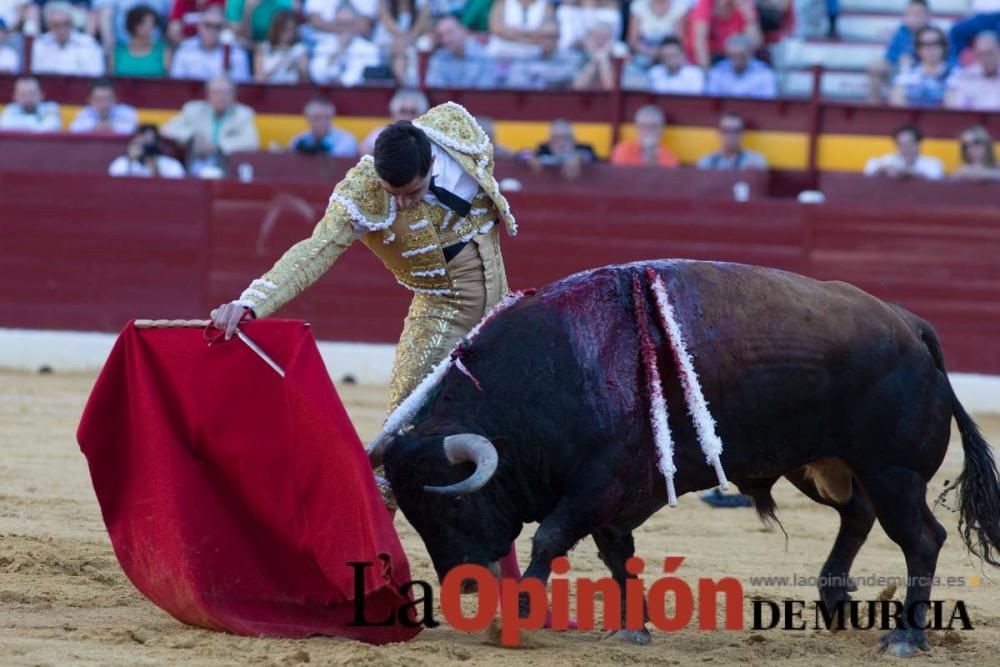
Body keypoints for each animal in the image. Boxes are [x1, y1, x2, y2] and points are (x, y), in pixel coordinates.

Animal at [372, 258, 996, 656]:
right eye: (415, 515)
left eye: (453, 506)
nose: (464, 586)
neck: (555, 372)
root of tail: (910, 324)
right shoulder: (615, 497)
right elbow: (617, 555)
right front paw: (632, 630)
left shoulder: (596, 484)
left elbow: (549, 538)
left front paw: (522, 613)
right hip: (825, 464)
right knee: (858, 516)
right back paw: (835, 599)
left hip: (895, 474)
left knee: (922, 540)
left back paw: (906, 637)